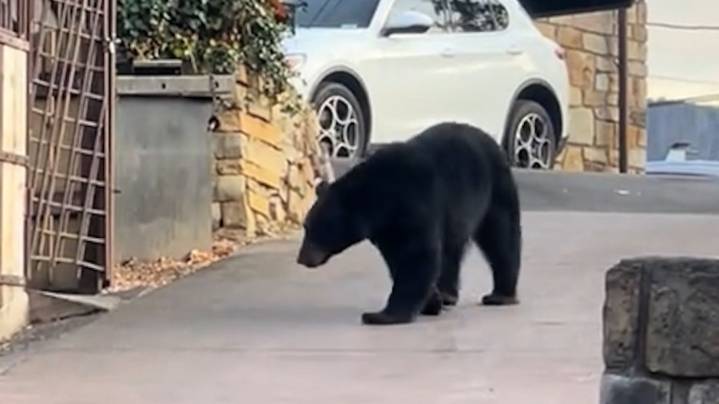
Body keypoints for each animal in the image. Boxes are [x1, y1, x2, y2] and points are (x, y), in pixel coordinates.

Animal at [296, 122, 522, 325]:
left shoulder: (414, 203)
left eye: (315, 229)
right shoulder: (386, 229)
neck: (379, 199)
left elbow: (416, 254)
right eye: (306, 227)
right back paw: (448, 294)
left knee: (501, 236)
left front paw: (382, 315)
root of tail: (491, 139)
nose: (301, 258)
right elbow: (399, 260)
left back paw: (500, 295)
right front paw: (432, 302)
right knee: (452, 249)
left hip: (495, 190)